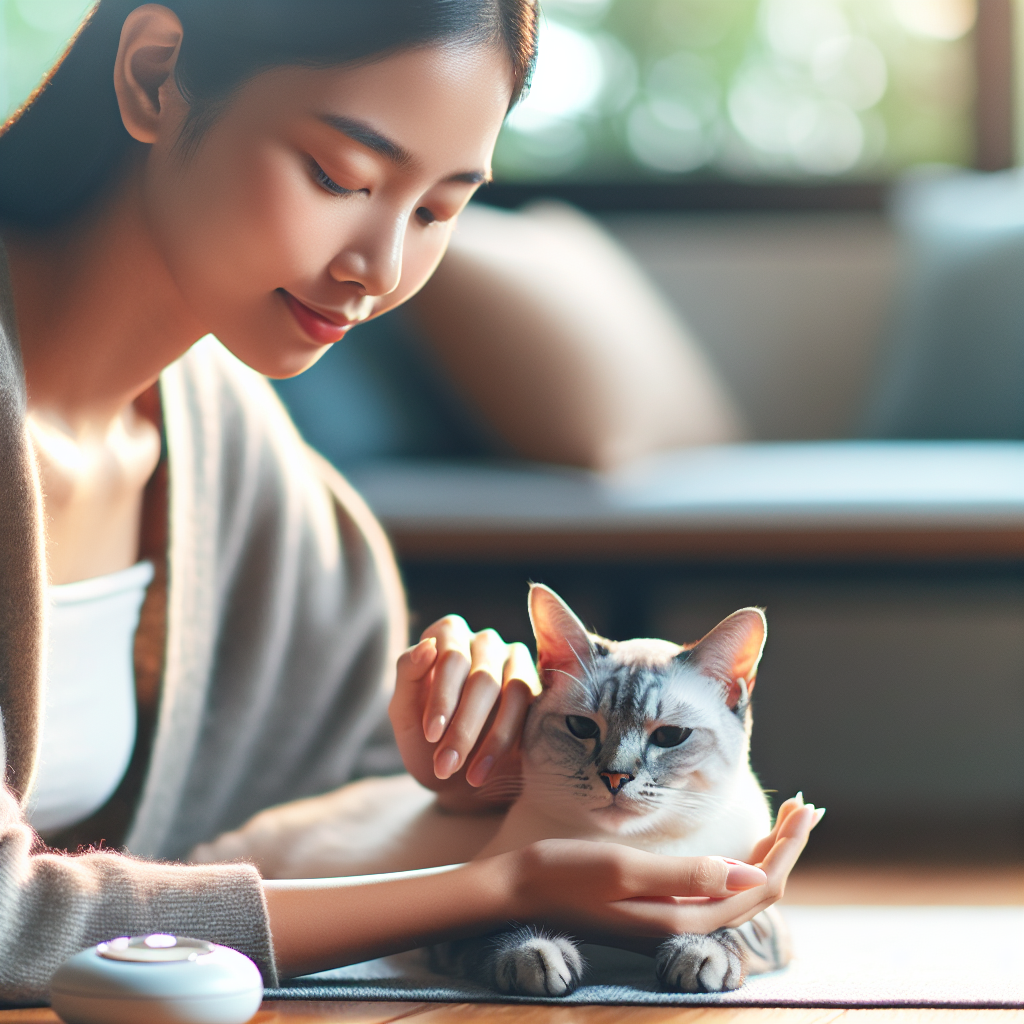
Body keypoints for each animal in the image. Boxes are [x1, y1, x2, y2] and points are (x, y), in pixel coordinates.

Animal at [428, 585, 786, 999]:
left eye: (671, 736)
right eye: (581, 727)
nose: (615, 777)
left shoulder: (761, 912)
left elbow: (728, 926)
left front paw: (698, 954)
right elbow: (503, 930)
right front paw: (534, 957)